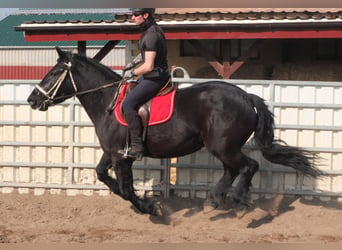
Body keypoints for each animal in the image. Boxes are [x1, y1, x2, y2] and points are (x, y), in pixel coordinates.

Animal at [27, 47, 324, 216]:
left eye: (53, 73)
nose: (32, 99)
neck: (109, 101)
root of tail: (245, 95)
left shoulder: (122, 157)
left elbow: (125, 188)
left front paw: (149, 207)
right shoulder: (112, 152)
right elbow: (102, 176)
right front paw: (144, 204)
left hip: (223, 146)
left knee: (248, 166)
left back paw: (238, 202)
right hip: (223, 147)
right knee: (232, 170)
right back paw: (214, 200)